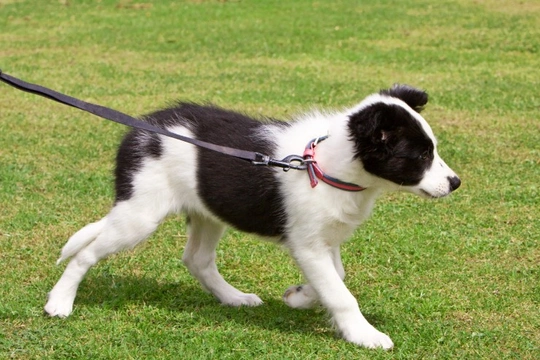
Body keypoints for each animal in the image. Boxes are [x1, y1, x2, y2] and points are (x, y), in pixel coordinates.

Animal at [44, 83, 462, 348]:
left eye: (433, 149)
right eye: (420, 156)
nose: (455, 182)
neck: (325, 165)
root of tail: (138, 132)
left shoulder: (323, 238)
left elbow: (337, 278)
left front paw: (299, 297)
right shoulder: (307, 244)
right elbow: (341, 293)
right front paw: (364, 335)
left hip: (208, 211)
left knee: (196, 259)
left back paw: (233, 298)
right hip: (139, 215)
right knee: (85, 253)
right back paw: (59, 302)